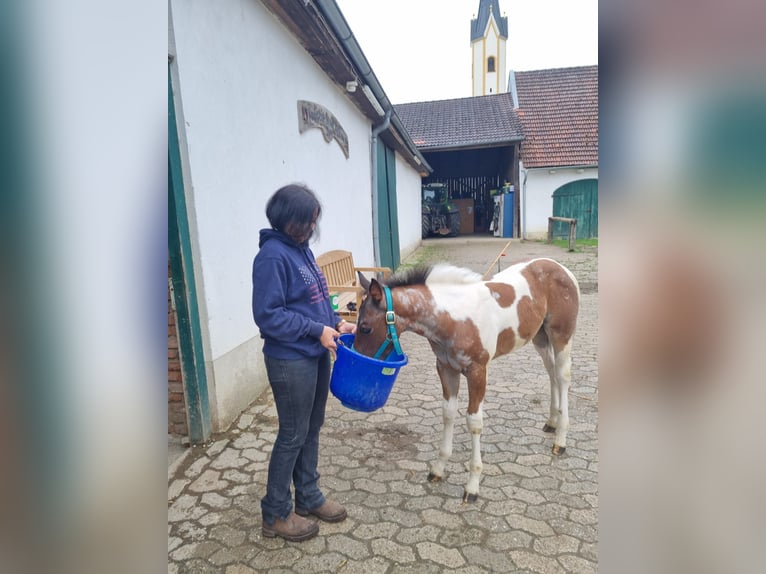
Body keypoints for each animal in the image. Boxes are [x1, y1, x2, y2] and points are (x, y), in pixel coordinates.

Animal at [356, 258, 584, 502]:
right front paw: (438, 469)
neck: (455, 317)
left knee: (562, 376)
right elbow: (448, 414)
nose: (358, 359)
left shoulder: (478, 371)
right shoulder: (446, 369)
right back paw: (552, 422)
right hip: (539, 337)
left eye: (365, 328)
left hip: (561, 335)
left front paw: (472, 486)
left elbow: (474, 422)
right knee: (551, 372)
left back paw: (560, 439)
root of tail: (560, 267)